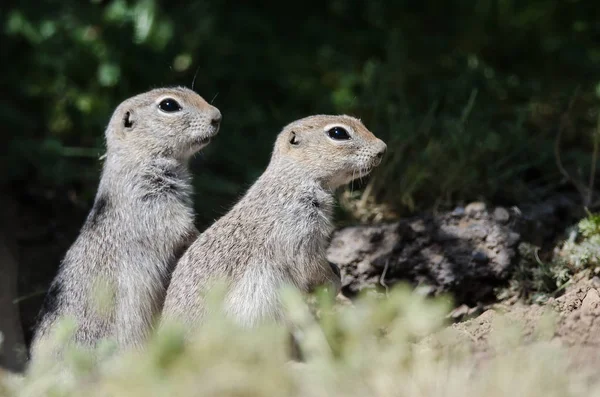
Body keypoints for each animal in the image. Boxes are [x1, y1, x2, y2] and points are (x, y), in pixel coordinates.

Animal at [161, 115, 384, 332]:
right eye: (338, 133)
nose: (382, 149)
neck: (295, 178)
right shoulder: (300, 233)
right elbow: (311, 266)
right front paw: (334, 282)